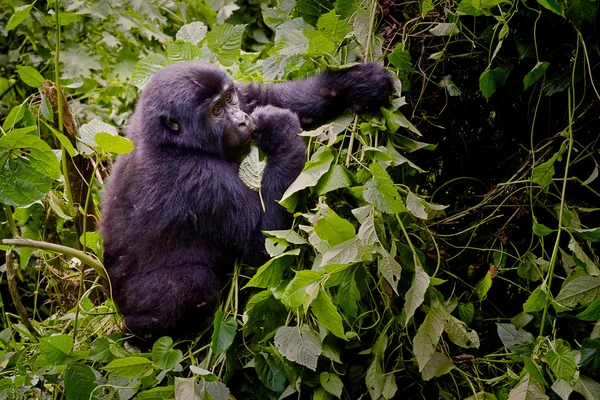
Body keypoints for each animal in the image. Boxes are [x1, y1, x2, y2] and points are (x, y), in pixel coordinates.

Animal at [100, 60, 394, 340]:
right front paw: (279, 130)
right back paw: (140, 333)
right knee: (191, 283)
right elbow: (264, 238)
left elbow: (268, 95)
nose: (242, 120)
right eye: (216, 110)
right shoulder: (198, 176)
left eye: (229, 98)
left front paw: (357, 83)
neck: (172, 141)